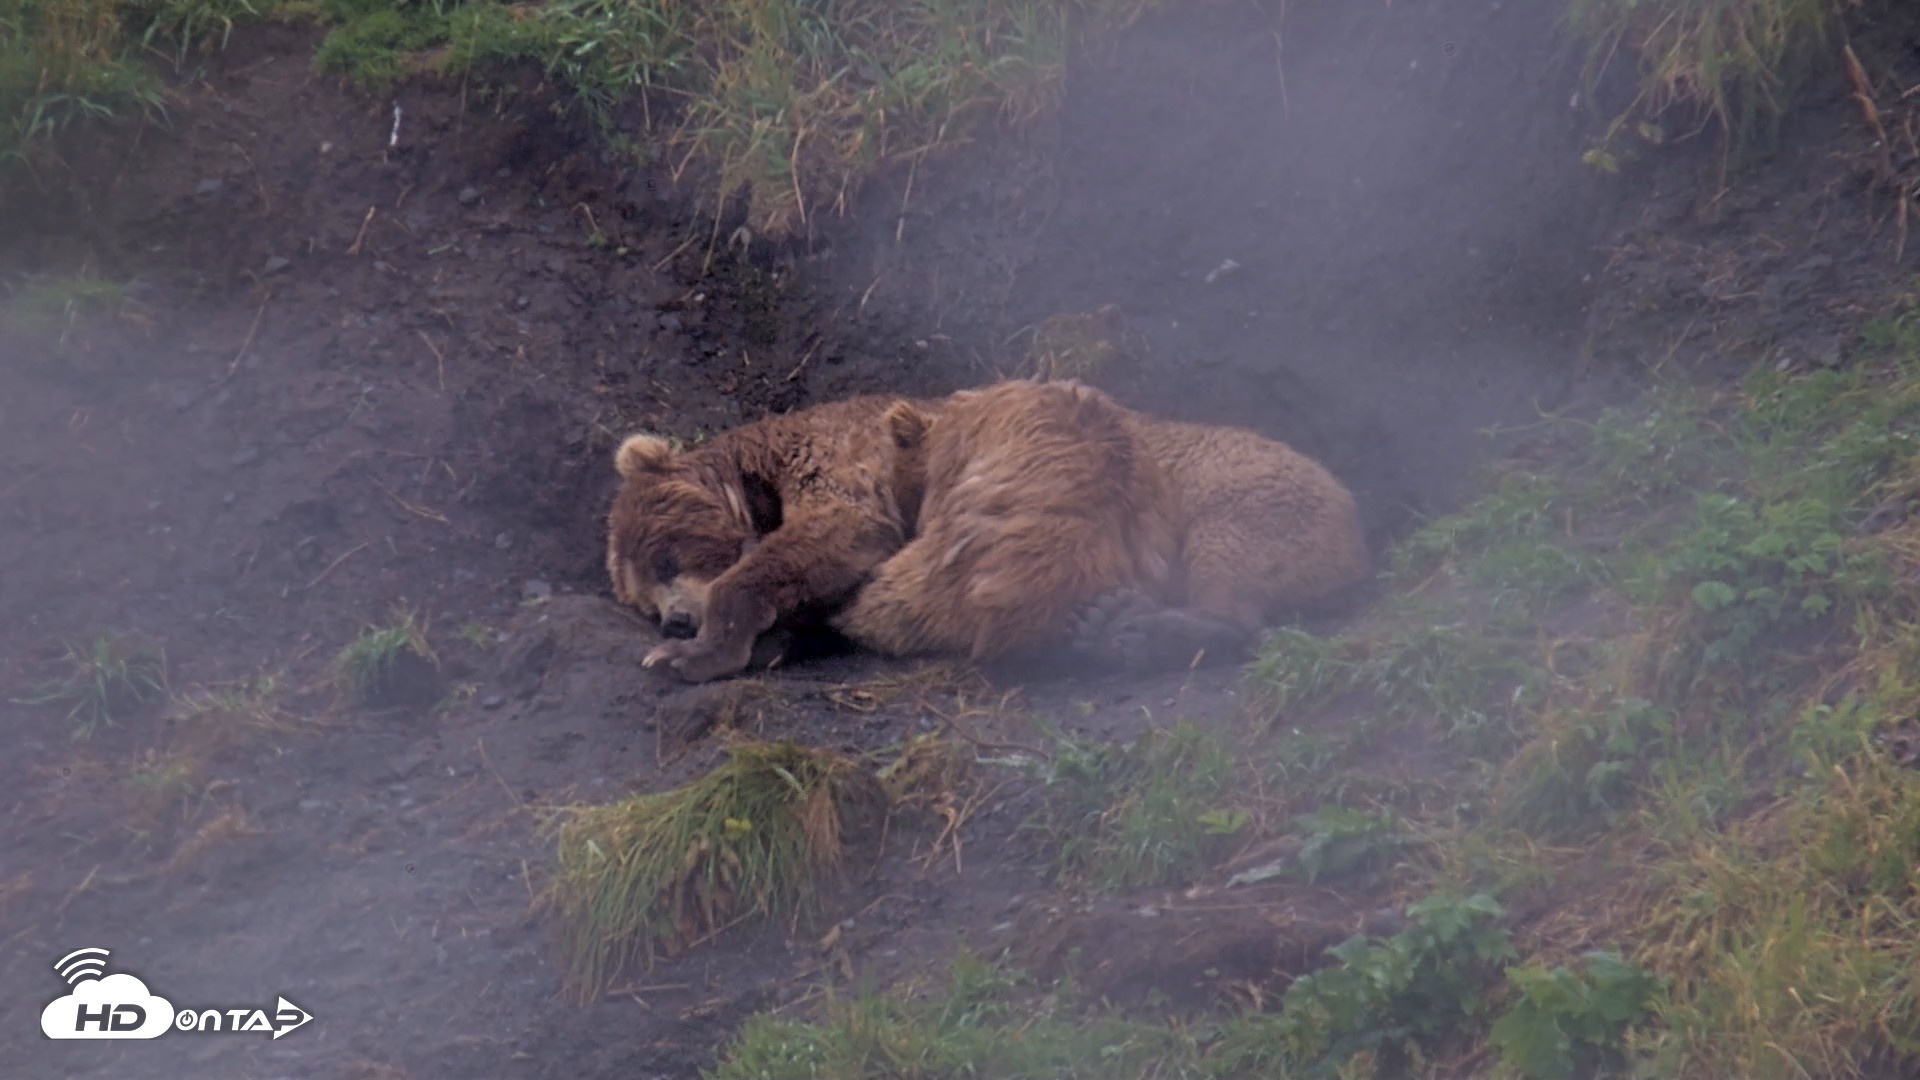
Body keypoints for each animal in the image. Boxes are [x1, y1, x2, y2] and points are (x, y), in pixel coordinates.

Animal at [605, 394, 944, 683]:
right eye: (648, 605)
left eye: (665, 562)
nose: (675, 622)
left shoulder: (829, 459)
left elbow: (836, 529)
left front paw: (678, 656)